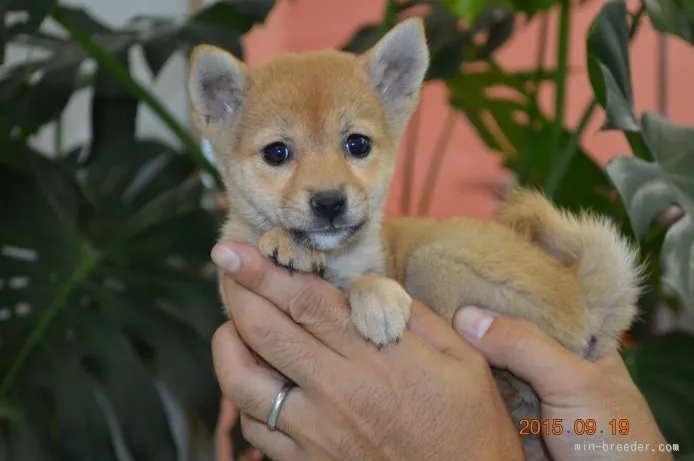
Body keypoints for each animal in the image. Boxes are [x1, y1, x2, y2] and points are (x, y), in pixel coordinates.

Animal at [188, 17, 644, 456]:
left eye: (357, 144)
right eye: (276, 153)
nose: (330, 202)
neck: (336, 260)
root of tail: (587, 296)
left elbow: (366, 279)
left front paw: (376, 297)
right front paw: (289, 243)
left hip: (433, 261)